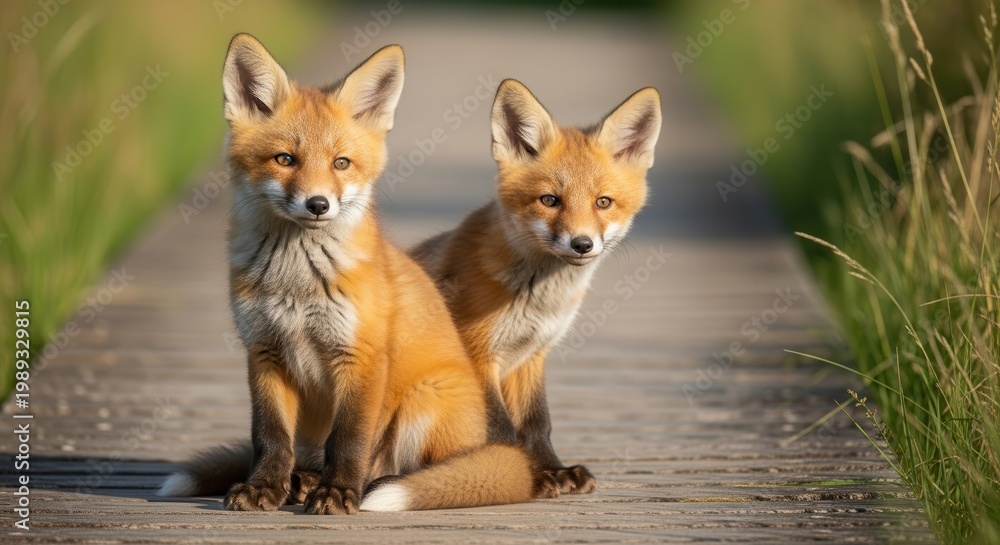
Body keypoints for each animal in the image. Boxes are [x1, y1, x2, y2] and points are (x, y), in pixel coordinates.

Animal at [156, 33, 537, 514]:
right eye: (285, 159)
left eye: (341, 163)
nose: (318, 204)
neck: (297, 284)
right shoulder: (263, 351)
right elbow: (269, 437)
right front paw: (264, 487)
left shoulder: (360, 357)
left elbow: (349, 438)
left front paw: (337, 492)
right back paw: (301, 482)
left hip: (423, 401)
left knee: (412, 469)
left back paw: (372, 484)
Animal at [410, 79, 662, 497]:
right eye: (549, 200)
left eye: (603, 202)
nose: (582, 244)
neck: (537, 301)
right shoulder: (477, 352)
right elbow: (500, 428)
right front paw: (523, 474)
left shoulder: (531, 354)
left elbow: (536, 423)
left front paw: (553, 470)